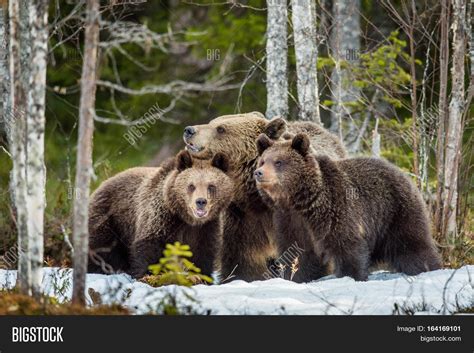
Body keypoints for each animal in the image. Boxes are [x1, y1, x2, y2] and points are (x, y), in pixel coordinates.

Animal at [88, 151, 233, 278]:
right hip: (111, 218)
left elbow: (203, 251)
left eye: (211, 186)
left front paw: (201, 275)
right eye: (191, 186)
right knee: (100, 247)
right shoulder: (161, 216)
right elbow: (151, 245)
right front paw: (149, 273)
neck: (185, 218)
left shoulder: (206, 227)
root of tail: (100, 186)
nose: (201, 201)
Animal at [183, 111, 346, 280]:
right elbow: (243, 257)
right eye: (212, 122)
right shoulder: (244, 216)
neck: (256, 197)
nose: (189, 130)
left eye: (221, 129)